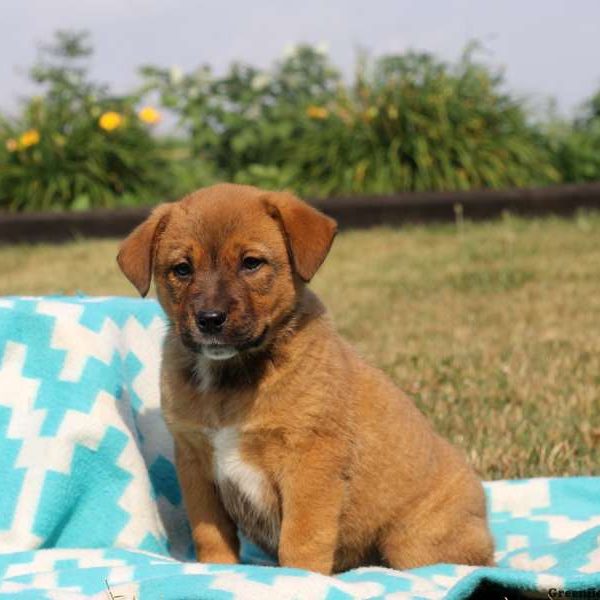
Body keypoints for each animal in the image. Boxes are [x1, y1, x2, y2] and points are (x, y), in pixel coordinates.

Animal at [116, 182, 492, 572]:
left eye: (251, 263)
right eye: (182, 269)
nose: (209, 319)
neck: (231, 377)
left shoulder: (310, 461)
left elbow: (301, 539)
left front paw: (299, 579)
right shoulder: (196, 466)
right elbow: (212, 537)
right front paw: (220, 572)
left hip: (413, 541)